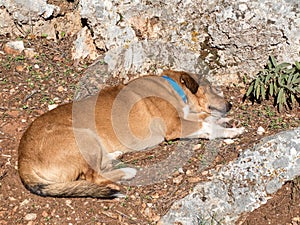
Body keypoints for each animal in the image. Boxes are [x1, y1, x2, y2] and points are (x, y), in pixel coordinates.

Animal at [17, 69, 245, 198]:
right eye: (212, 88)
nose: (230, 105)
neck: (173, 89)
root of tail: (23, 160)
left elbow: (207, 119)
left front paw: (223, 121)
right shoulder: (176, 127)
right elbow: (207, 127)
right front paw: (231, 130)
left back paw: (114, 156)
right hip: (83, 137)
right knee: (93, 177)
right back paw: (127, 172)